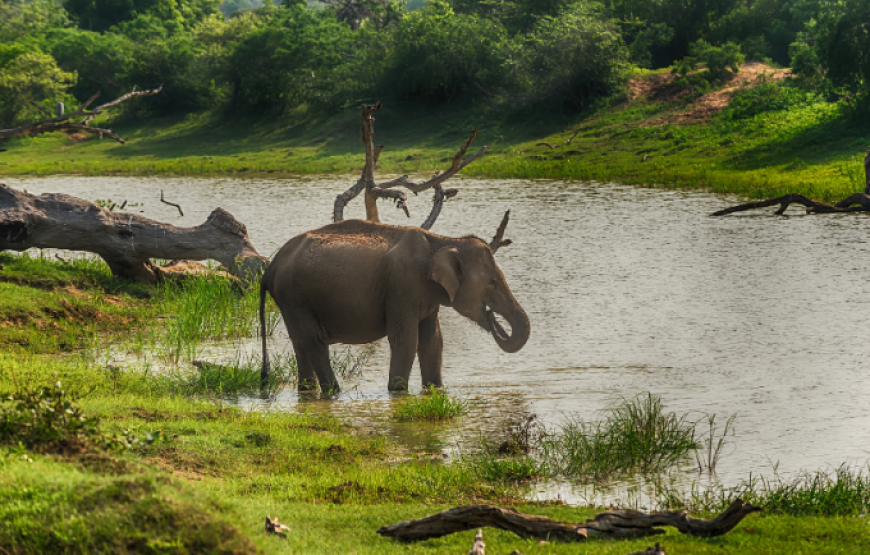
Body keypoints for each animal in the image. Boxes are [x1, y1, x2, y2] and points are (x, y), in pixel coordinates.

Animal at [258, 219, 532, 394]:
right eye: (493, 282)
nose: (494, 320)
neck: (443, 241)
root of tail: (270, 267)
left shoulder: (427, 294)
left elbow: (433, 341)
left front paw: (433, 390)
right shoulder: (403, 285)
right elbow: (406, 339)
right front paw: (398, 392)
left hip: (290, 300)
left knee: (300, 342)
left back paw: (308, 392)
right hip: (295, 295)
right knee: (314, 341)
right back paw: (334, 392)